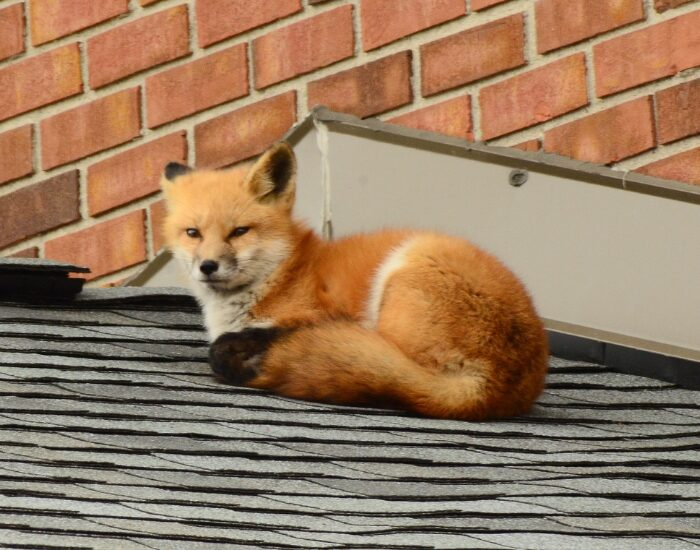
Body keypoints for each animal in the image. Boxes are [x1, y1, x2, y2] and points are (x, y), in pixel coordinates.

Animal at [161, 141, 548, 420]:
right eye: (193, 233)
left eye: (239, 232)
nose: (207, 266)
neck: (279, 276)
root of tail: (491, 387)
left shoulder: (314, 313)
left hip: (405, 268)